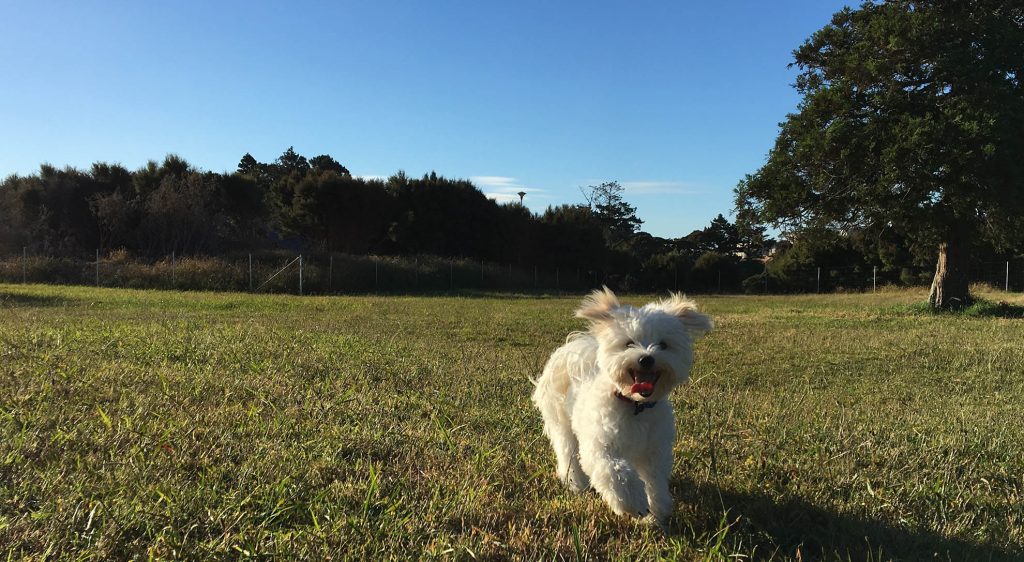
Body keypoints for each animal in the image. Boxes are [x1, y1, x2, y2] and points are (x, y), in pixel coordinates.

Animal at [536, 286, 712, 524]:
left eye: (663, 345)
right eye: (629, 343)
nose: (646, 358)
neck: (634, 405)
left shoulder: (654, 451)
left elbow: (654, 481)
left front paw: (656, 512)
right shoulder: (600, 447)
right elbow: (615, 473)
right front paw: (634, 504)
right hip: (561, 423)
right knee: (567, 453)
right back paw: (576, 484)